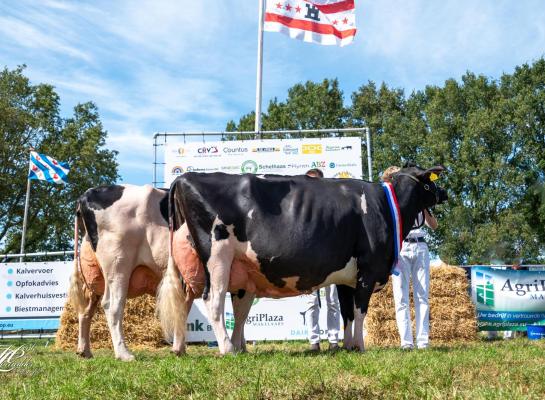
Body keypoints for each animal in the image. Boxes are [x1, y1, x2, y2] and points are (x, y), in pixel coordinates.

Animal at [156, 165, 446, 354]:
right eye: (430, 180)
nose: (444, 193)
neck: (385, 206)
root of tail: (184, 178)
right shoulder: (368, 268)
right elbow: (360, 311)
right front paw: (361, 346)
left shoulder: (347, 277)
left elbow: (347, 312)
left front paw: (349, 346)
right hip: (217, 256)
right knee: (212, 301)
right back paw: (227, 348)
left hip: (222, 268)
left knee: (191, 301)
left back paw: (185, 348)